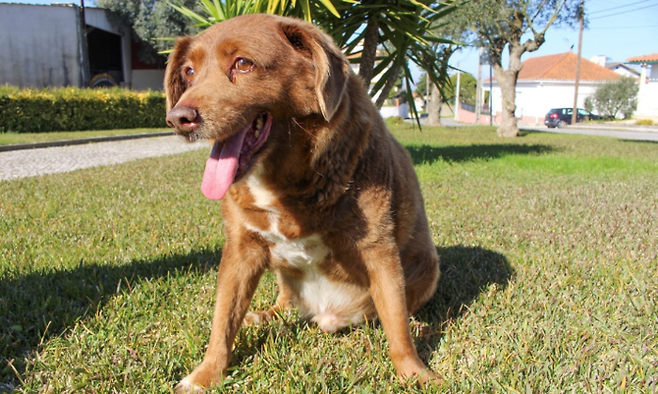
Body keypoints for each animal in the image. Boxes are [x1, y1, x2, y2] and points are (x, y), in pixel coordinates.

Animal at [164, 13, 440, 392]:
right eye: (189, 72)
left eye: (243, 64)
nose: (179, 118)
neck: (284, 181)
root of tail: (326, 314)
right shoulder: (241, 249)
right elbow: (222, 320)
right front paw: (206, 375)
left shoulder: (378, 249)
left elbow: (396, 323)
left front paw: (415, 373)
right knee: (283, 302)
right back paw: (263, 315)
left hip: (428, 266)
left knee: (398, 311)